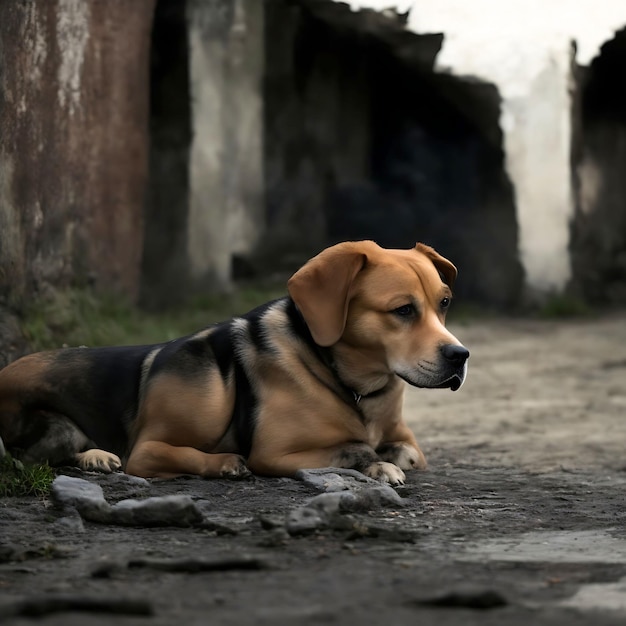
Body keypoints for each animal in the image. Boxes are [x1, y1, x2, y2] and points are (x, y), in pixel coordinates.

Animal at [0, 239, 466, 482]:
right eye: (402, 310)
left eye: (444, 303)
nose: (460, 356)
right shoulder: (276, 454)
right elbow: (351, 449)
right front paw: (374, 461)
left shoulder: (404, 439)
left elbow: (405, 451)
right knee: (37, 458)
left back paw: (96, 456)